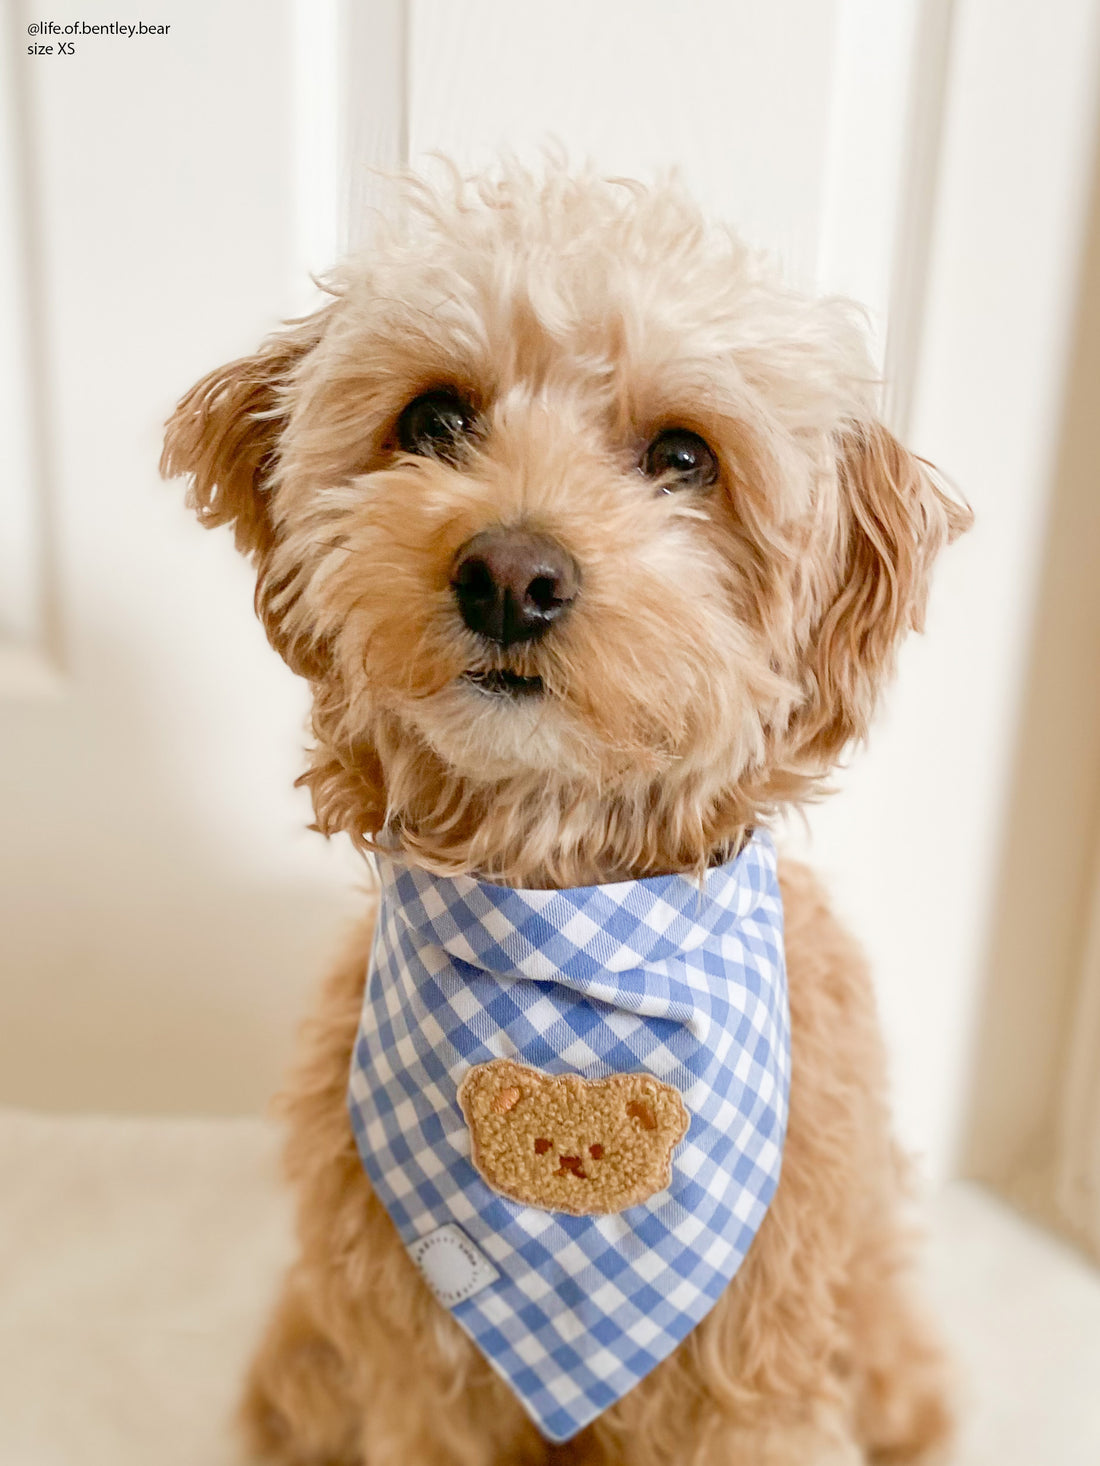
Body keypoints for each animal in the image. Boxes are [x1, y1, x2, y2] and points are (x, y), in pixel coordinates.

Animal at [159, 166, 968, 1460]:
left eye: (683, 454)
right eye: (434, 418)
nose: (509, 576)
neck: (565, 914)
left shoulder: (759, 1374)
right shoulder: (413, 1377)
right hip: (305, 1361)